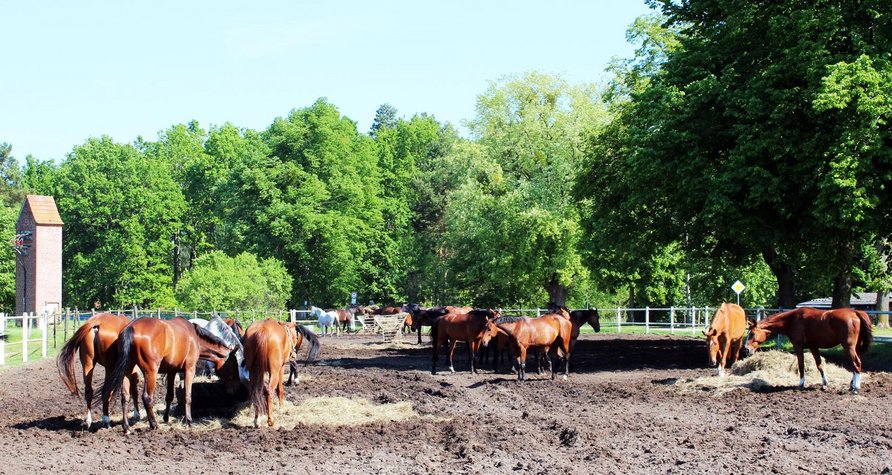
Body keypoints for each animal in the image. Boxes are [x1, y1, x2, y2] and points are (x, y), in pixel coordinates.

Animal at [99, 318, 237, 434]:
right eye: (232, 365)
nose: (233, 390)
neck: (194, 338)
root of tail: (130, 327)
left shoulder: (172, 371)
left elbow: (169, 396)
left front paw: (166, 418)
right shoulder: (189, 369)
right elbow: (187, 396)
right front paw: (189, 421)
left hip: (128, 370)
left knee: (125, 397)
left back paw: (126, 427)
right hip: (151, 372)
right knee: (147, 397)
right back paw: (153, 424)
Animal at [744, 308, 872, 394]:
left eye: (752, 333)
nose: (746, 349)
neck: (792, 320)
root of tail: (855, 312)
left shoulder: (798, 346)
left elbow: (801, 365)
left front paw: (801, 384)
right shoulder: (813, 347)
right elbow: (819, 365)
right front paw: (824, 384)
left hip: (849, 347)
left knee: (857, 364)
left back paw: (856, 388)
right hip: (855, 348)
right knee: (856, 365)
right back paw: (852, 385)